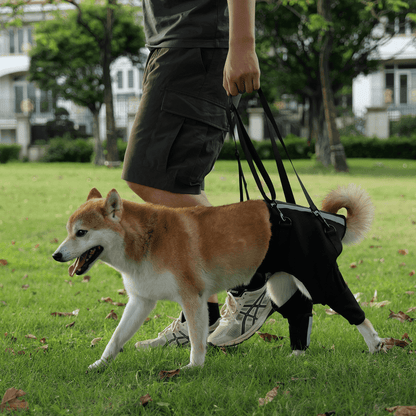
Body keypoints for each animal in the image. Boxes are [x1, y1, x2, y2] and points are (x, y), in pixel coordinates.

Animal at [53, 187, 382, 372]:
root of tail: (328, 221)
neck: (148, 240)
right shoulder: (141, 301)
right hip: (282, 287)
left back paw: (376, 347)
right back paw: (298, 354)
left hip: (320, 281)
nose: (56, 255)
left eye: (81, 232)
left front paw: (193, 368)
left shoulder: (192, 298)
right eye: (68, 231)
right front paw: (99, 365)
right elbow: (116, 338)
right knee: (300, 312)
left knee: (357, 314)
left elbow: (197, 340)